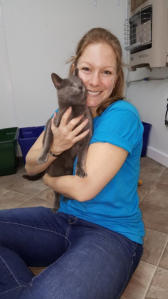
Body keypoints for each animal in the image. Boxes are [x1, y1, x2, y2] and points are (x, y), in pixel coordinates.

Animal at [24, 72, 92, 212]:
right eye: (71, 84)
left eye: (82, 82)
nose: (81, 87)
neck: (74, 110)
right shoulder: (52, 124)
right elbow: (47, 141)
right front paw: (42, 156)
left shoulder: (87, 136)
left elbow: (82, 156)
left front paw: (81, 171)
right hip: (55, 172)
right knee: (56, 191)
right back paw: (56, 205)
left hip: (66, 172)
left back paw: (66, 198)